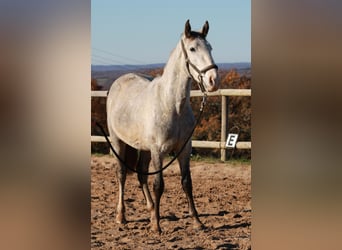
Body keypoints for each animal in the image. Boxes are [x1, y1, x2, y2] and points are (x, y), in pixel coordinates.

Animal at [107, 19, 219, 232]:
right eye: (192, 49)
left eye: (210, 47)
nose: (212, 80)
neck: (172, 105)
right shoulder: (158, 151)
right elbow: (159, 184)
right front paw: (157, 227)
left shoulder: (184, 149)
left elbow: (187, 182)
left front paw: (196, 221)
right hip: (118, 142)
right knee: (122, 174)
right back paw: (121, 216)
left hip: (144, 148)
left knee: (141, 174)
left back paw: (151, 211)